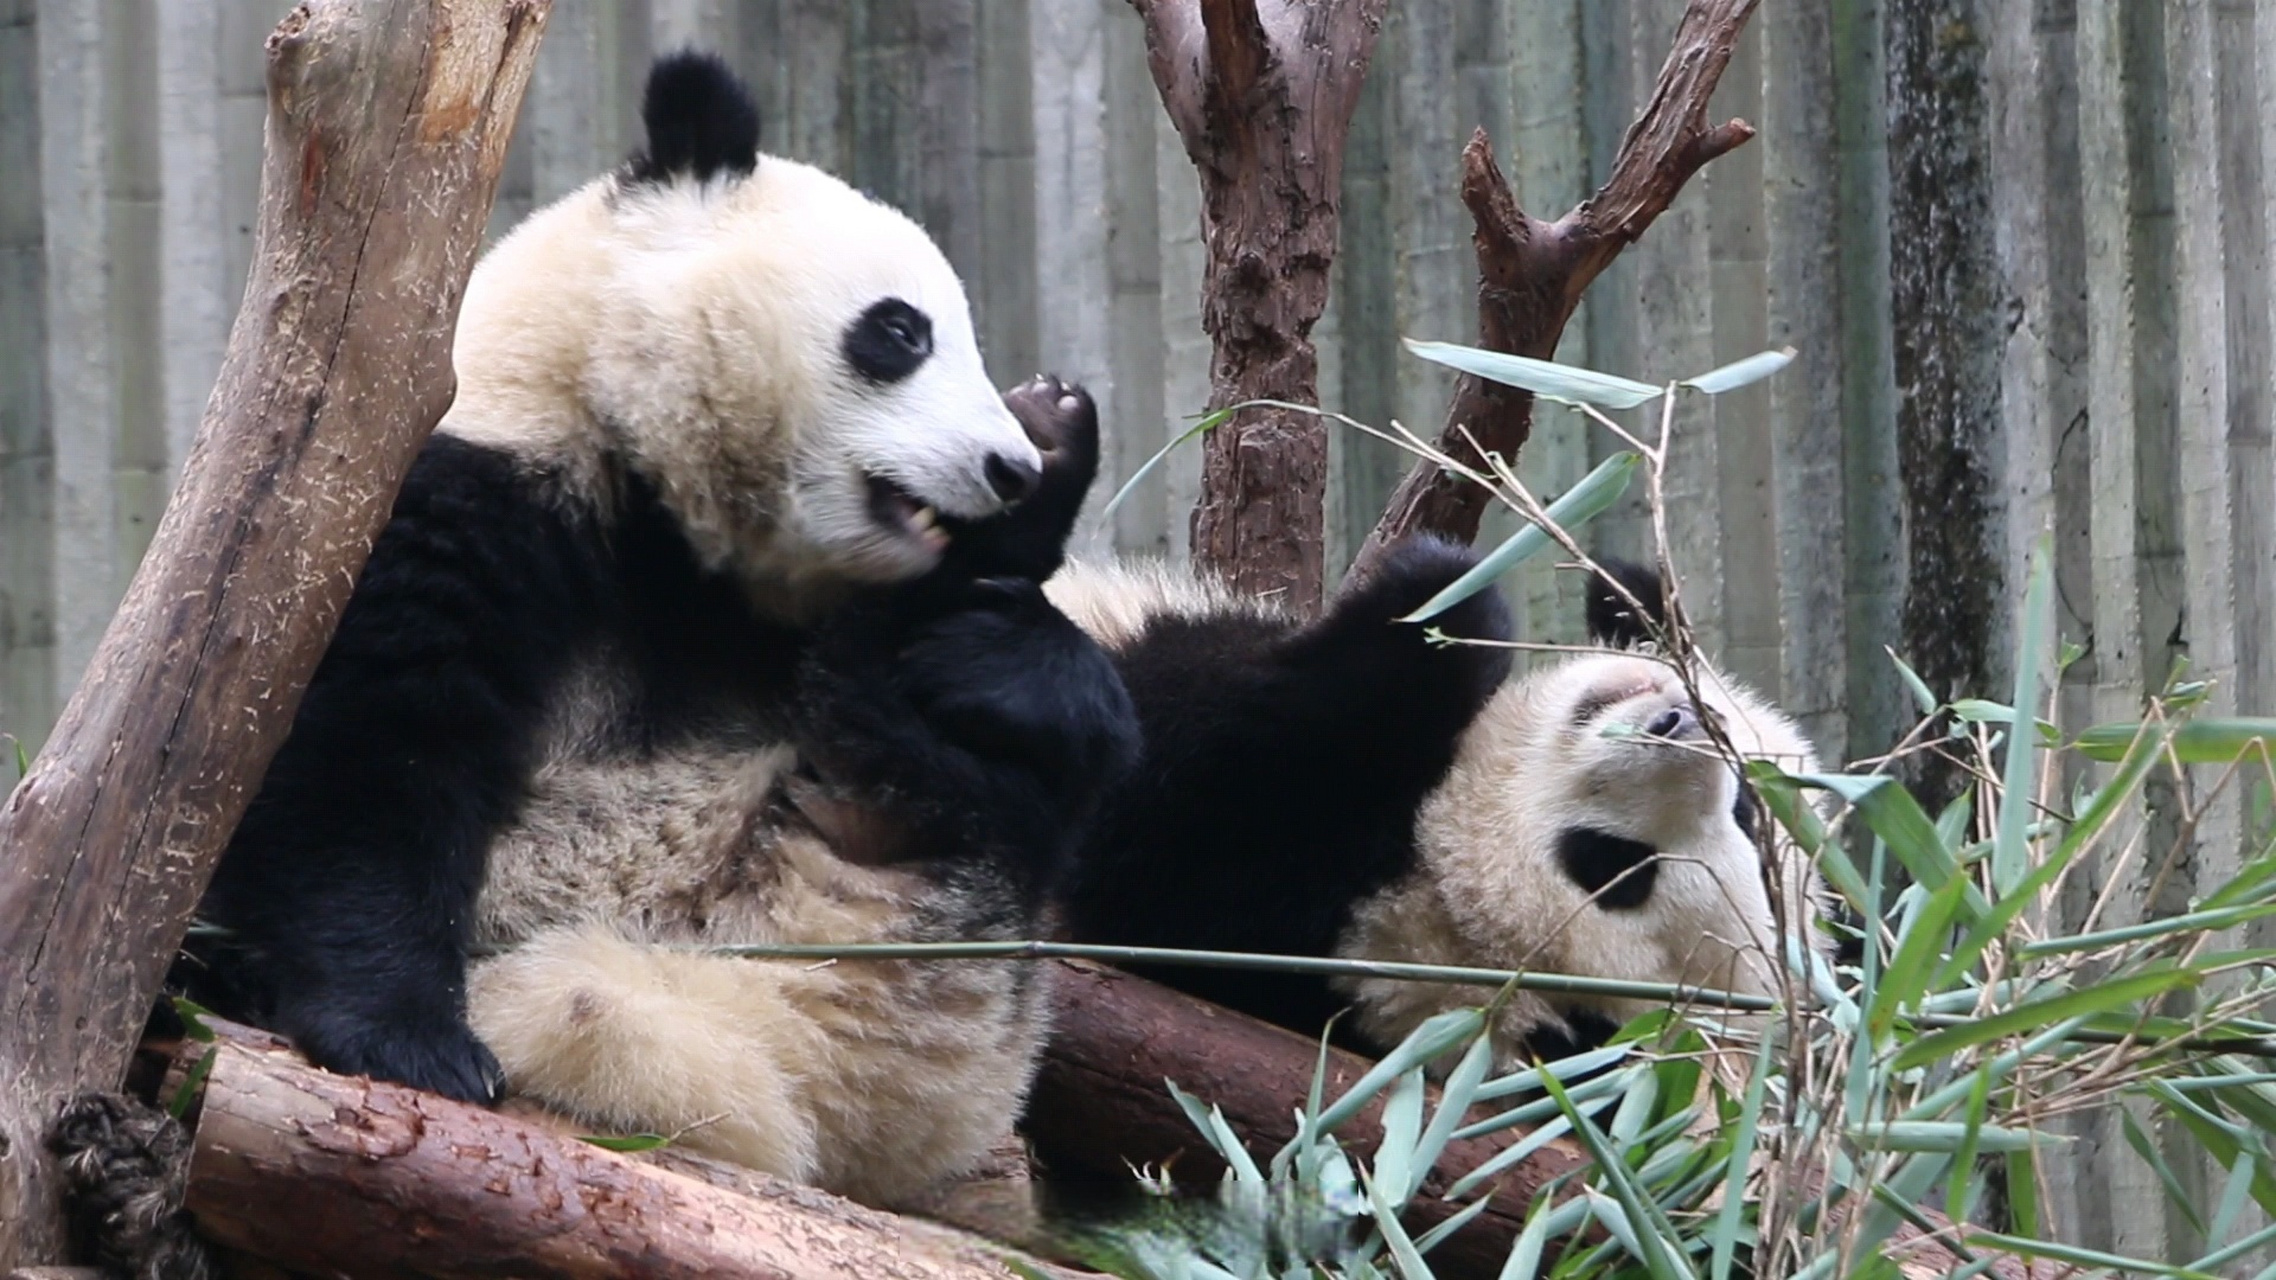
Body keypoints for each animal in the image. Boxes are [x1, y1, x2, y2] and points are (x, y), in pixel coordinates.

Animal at [179, 52, 1138, 1175]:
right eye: (900, 331)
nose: (1005, 467)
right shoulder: (459, 491)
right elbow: (364, 750)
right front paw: (407, 1037)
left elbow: (1039, 716)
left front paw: (1006, 608)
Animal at [1051, 542, 1829, 1061]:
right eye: (1751, 812)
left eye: (1617, 869)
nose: (1679, 726)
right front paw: (1619, 594)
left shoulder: (1246, 906)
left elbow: (1172, 785)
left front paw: (1440, 596)